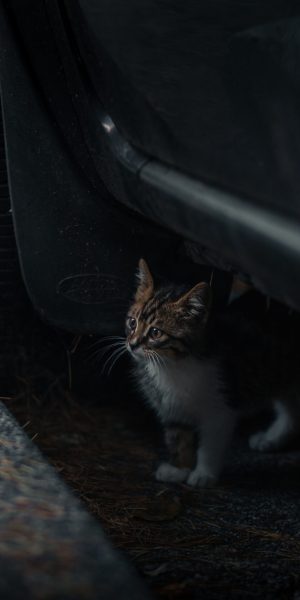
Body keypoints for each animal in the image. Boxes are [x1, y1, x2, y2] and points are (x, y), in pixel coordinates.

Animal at [126, 258, 300, 488]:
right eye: (132, 322)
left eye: (155, 332)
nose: (132, 344)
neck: (172, 365)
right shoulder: (170, 406)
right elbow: (178, 437)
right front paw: (179, 469)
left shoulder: (221, 406)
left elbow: (211, 444)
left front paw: (204, 474)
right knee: (291, 408)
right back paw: (270, 438)